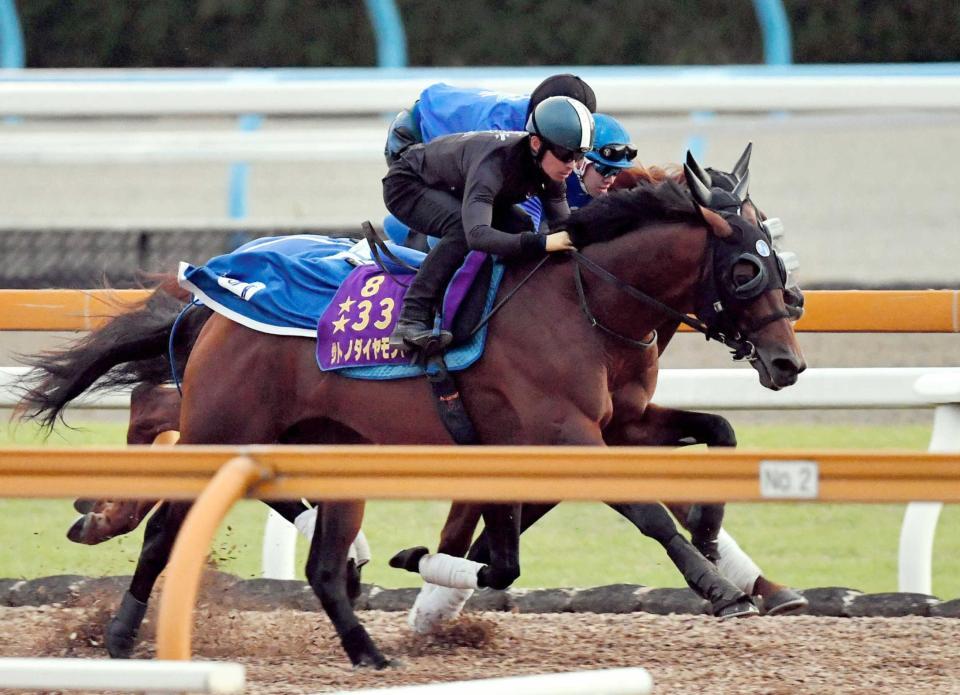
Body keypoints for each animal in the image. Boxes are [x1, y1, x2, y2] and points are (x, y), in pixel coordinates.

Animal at [18, 175, 808, 668]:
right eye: (745, 269)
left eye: (783, 270)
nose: (787, 362)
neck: (584, 301)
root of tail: (215, 300)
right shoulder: (567, 433)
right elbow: (642, 508)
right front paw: (713, 584)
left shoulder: (618, 424)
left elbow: (717, 432)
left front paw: (715, 540)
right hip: (221, 426)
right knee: (162, 524)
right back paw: (119, 629)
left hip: (324, 446)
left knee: (320, 559)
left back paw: (365, 644)